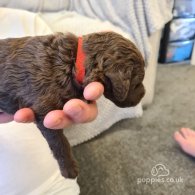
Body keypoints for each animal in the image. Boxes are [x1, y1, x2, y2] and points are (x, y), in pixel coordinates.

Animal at [0, 31, 145, 178]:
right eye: (137, 83)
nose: (144, 94)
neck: (74, 61)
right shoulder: (44, 111)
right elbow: (60, 143)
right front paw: (69, 169)